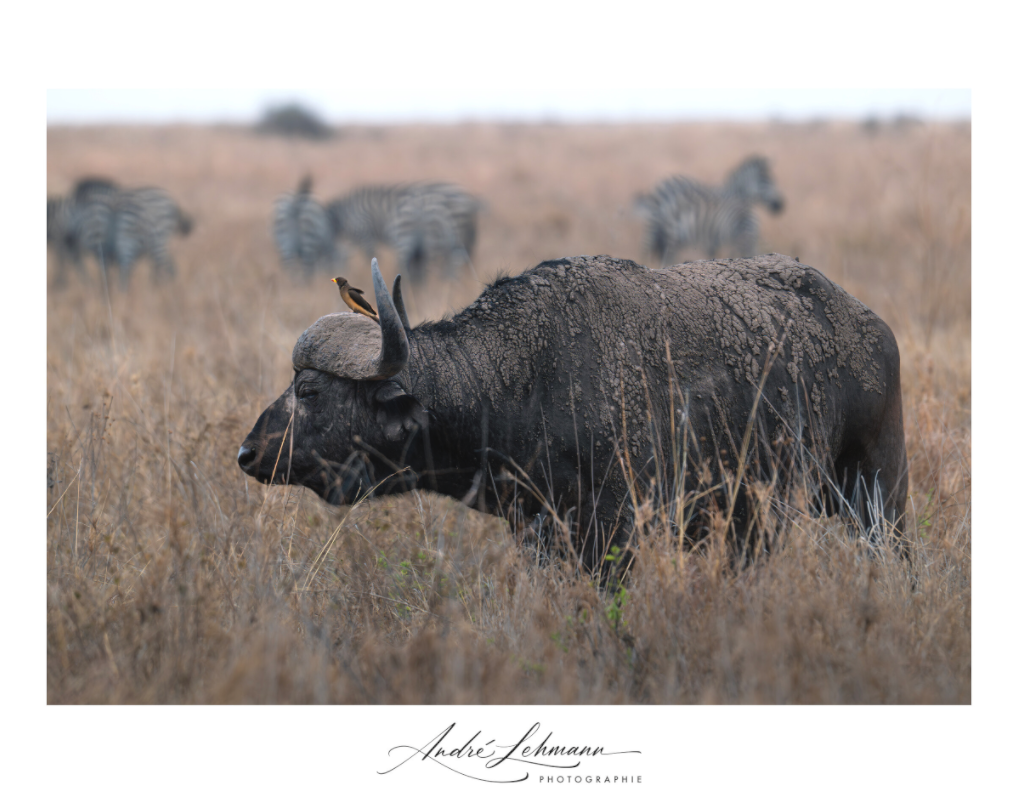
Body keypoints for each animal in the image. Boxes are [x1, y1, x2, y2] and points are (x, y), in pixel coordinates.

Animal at [239, 254, 907, 571]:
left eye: (309, 390)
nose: (248, 452)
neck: (522, 380)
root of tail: (870, 325)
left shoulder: (618, 531)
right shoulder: (540, 534)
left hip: (877, 491)